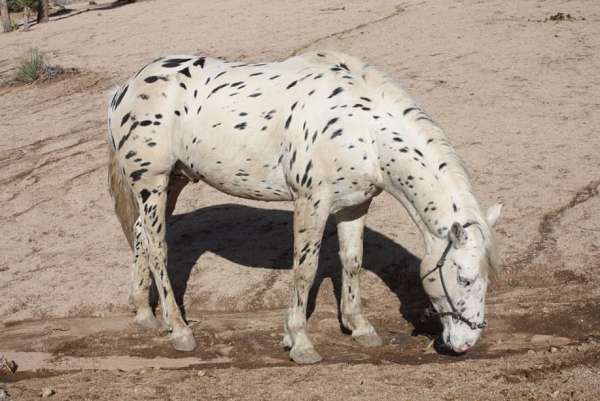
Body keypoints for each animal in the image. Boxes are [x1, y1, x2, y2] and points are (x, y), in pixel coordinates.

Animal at [106, 50, 502, 362]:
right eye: (465, 278)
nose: (466, 343)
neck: (363, 129)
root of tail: (125, 89)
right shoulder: (311, 202)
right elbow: (305, 270)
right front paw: (300, 342)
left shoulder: (354, 205)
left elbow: (352, 262)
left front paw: (360, 328)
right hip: (153, 183)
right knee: (158, 248)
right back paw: (179, 330)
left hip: (173, 182)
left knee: (141, 236)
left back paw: (144, 314)